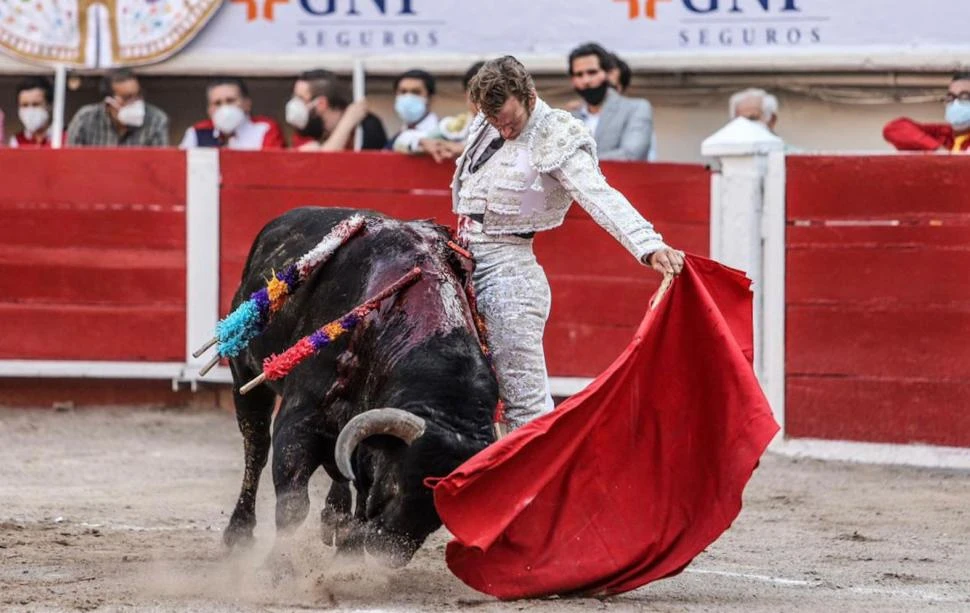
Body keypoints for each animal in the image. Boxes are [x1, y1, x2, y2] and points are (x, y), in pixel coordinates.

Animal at [224, 206, 500, 564]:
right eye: (398, 483)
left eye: (443, 511)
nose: (390, 553)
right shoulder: (298, 421)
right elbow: (293, 503)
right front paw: (281, 567)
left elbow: (359, 490)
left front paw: (348, 557)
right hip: (244, 375)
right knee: (256, 448)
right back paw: (238, 533)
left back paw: (335, 518)